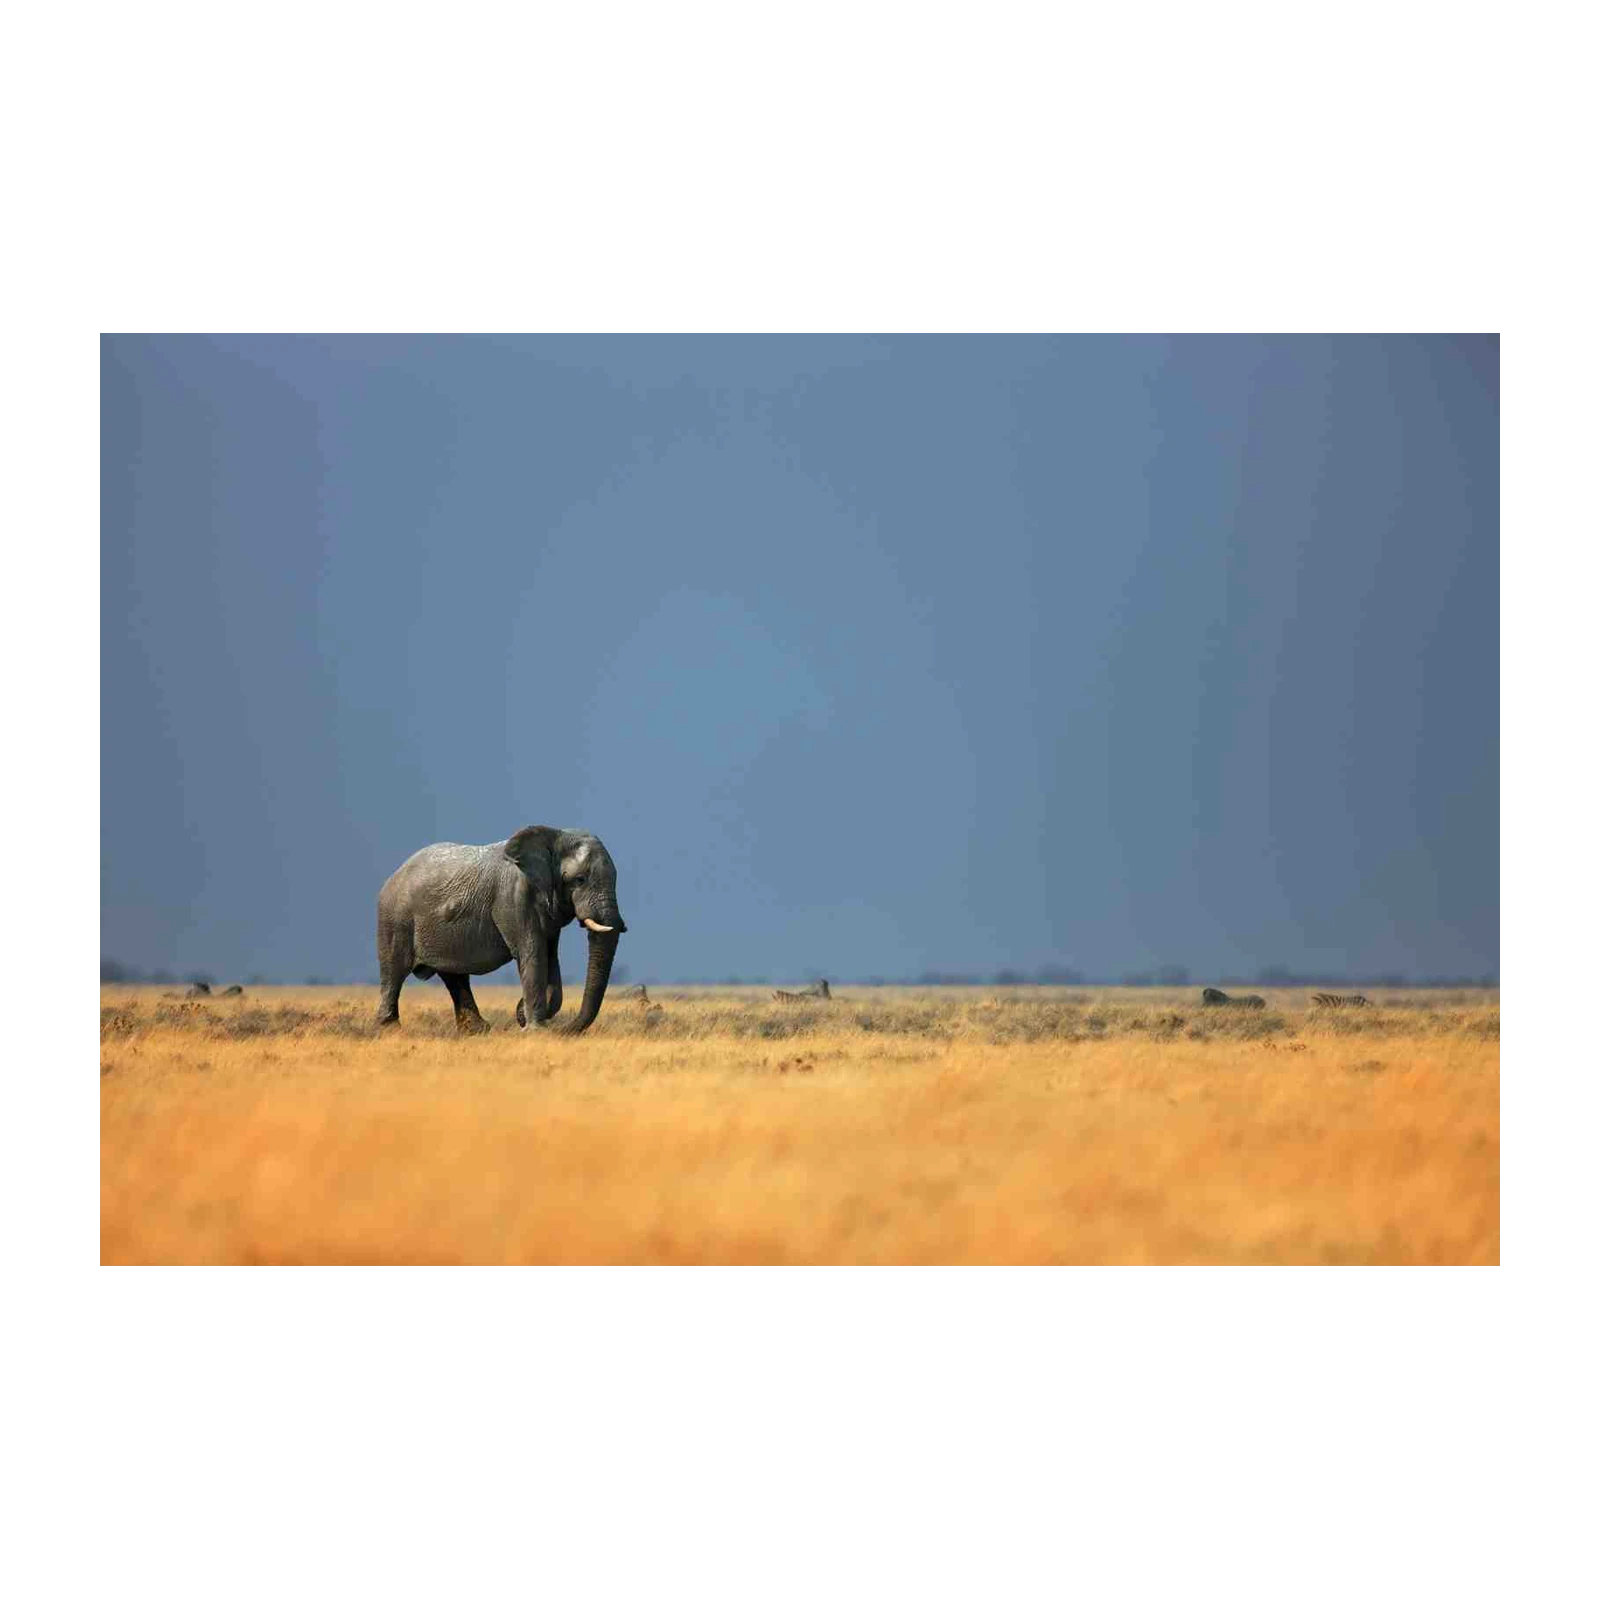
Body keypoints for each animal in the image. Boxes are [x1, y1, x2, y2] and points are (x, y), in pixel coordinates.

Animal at [375, 826, 627, 1035]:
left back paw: (476, 1030)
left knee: (454, 976)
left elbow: (550, 958)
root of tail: (393, 874)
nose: (562, 1030)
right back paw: (390, 1029)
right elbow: (533, 954)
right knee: (394, 971)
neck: (556, 835)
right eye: (580, 879)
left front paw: (526, 1014)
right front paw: (535, 1030)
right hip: (395, 918)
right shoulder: (513, 898)